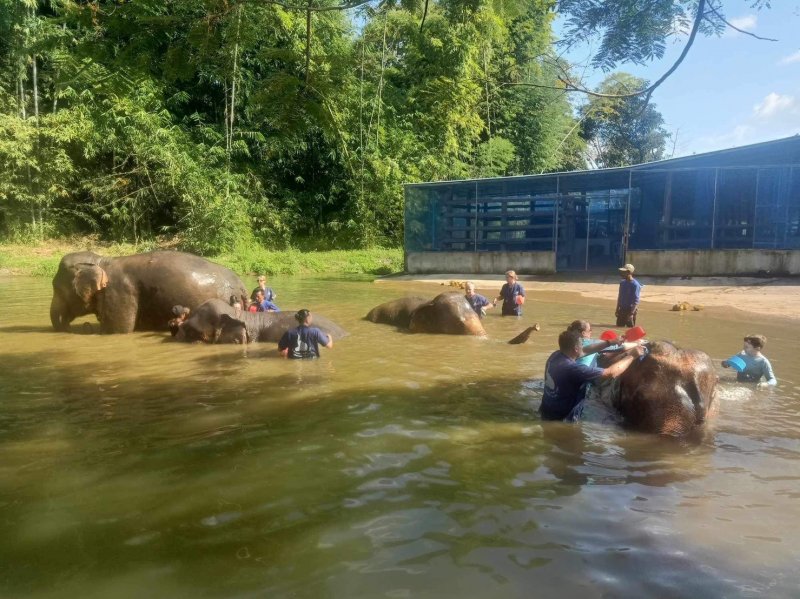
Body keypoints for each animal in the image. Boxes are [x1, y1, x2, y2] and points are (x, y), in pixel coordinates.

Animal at [50, 251, 247, 336]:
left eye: (57, 289)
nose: (86, 327)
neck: (101, 260)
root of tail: (241, 285)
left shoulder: (119, 293)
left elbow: (118, 331)